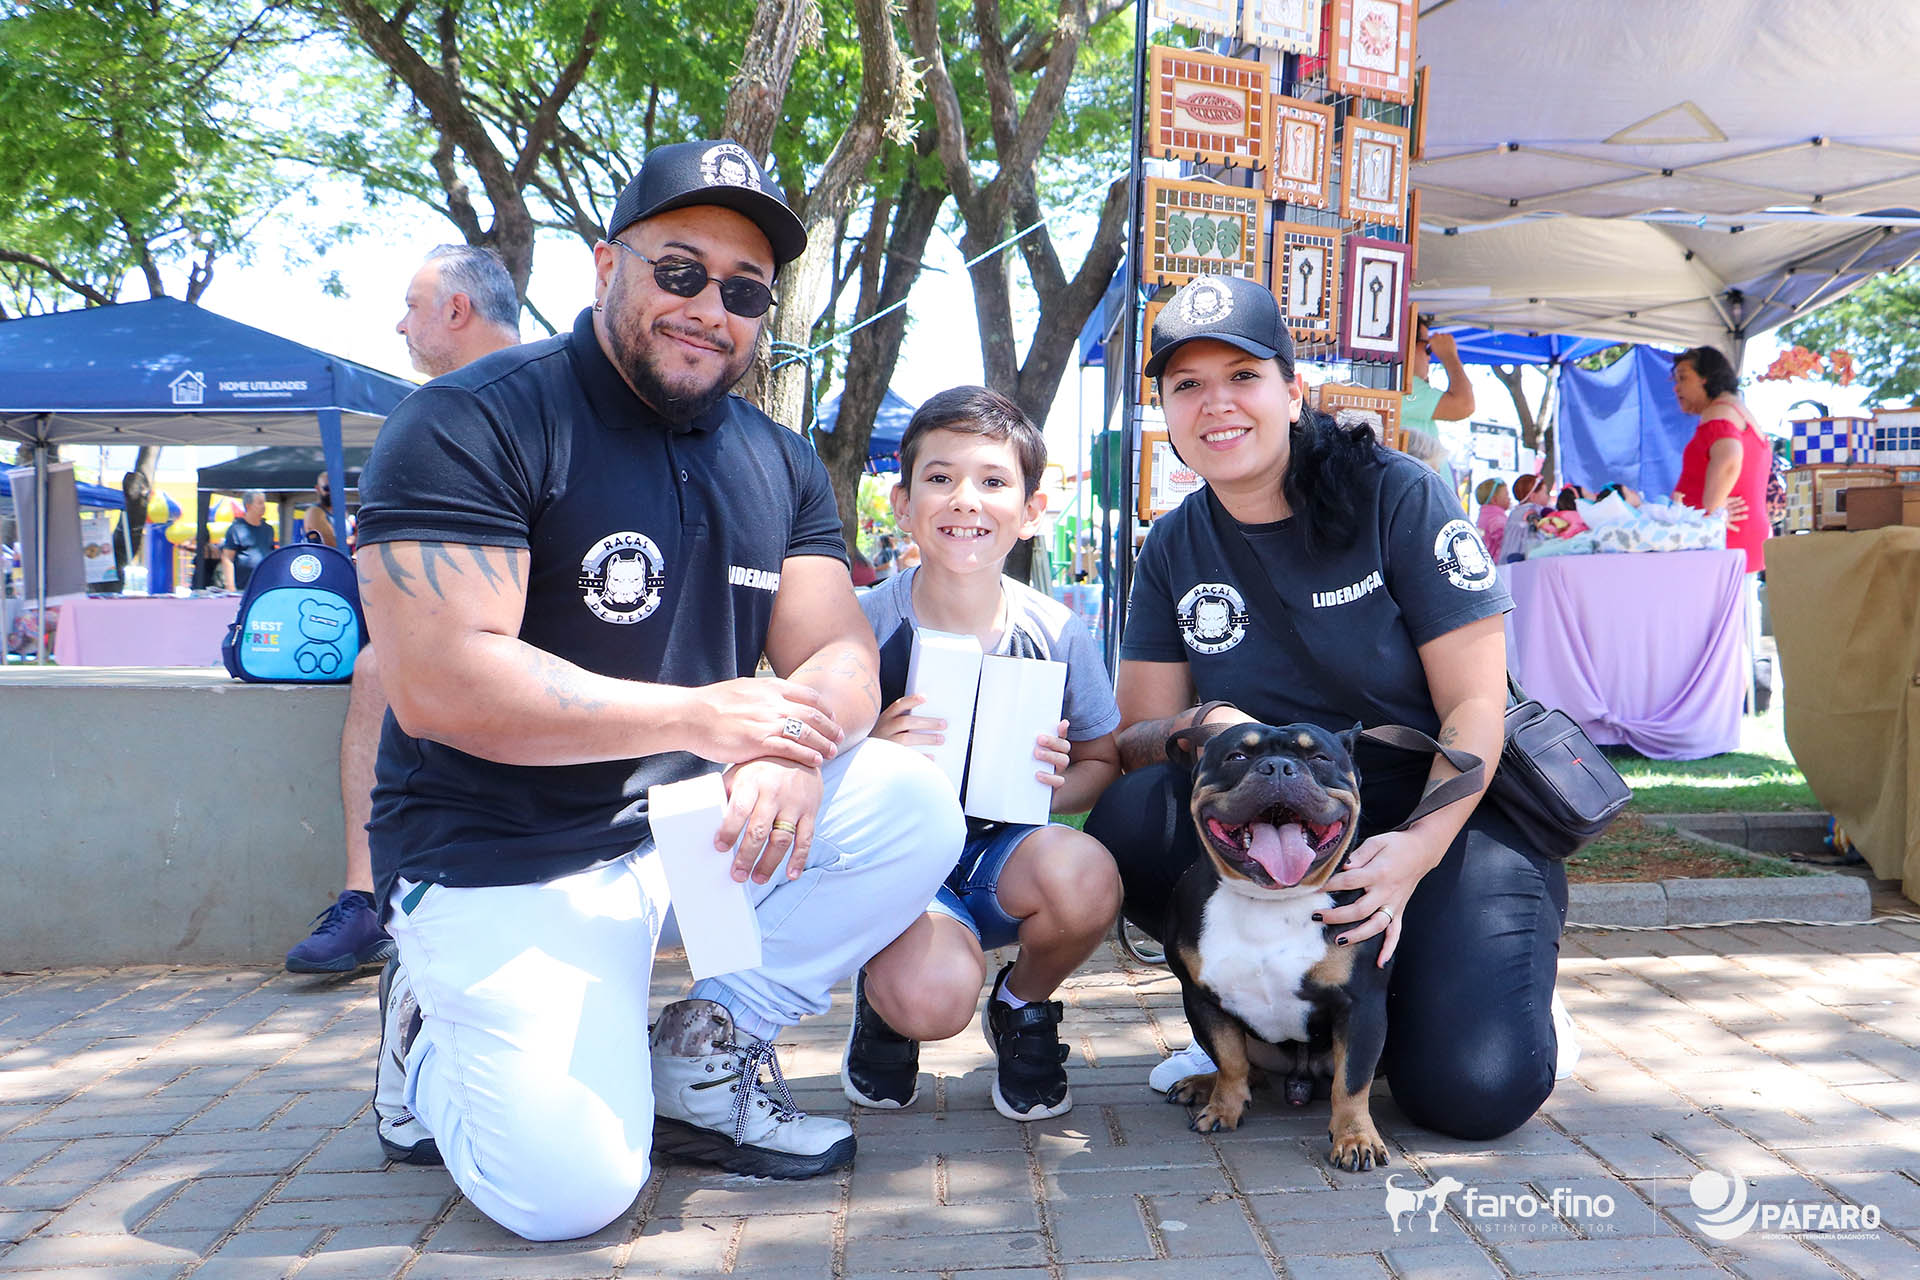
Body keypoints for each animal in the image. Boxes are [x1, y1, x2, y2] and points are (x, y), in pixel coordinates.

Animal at [1160, 719, 1393, 1172]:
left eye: (1318, 757)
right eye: (1236, 756)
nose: (1280, 767)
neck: (1272, 900)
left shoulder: (1362, 1005)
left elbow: (1353, 1079)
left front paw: (1355, 1138)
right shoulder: (1201, 999)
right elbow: (1229, 1058)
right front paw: (1224, 1107)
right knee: (1248, 1067)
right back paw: (1201, 1083)